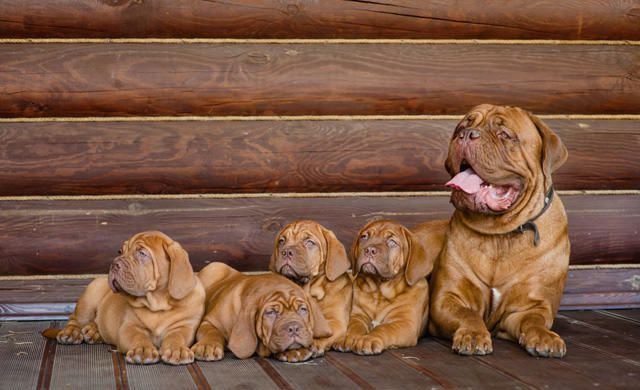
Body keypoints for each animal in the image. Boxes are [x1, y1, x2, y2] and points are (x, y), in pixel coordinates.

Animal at [192, 262, 332, 362]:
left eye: (303, 309)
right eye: (271, 313)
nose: (293, 328)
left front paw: (295, 351)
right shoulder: (208, 322)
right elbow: (212, 332)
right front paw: (208, 346)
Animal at [332, 219, 442, 356]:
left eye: (392, 242)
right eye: (364, 237)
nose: (369, 250)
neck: (380, 291)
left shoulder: (405, 323)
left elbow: (384, 328)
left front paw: (369, 339)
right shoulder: (358, 315)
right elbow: (354, 326)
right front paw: (348, 337)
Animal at [430, 104, 568, 360]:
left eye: (504, 134)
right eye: (462, 127)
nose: (467, 134)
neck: (499, 233)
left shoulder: (529, 306)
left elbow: (534, 320)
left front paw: (545, 337)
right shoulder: (448, 298)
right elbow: (468, 314)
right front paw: (473, 334)